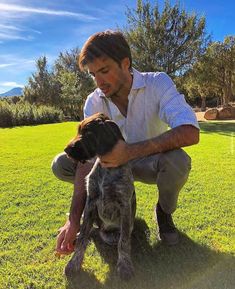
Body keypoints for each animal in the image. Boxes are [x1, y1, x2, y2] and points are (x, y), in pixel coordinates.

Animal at [63, 112, 136, 280]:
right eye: (79, 130)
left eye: (89, 133)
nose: (66, 150)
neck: (106, 169)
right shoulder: (90, 202)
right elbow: (83, 237)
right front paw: (74, 262)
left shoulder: (124, 205)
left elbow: (124, 242)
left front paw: (124, 266)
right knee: (90, 230)